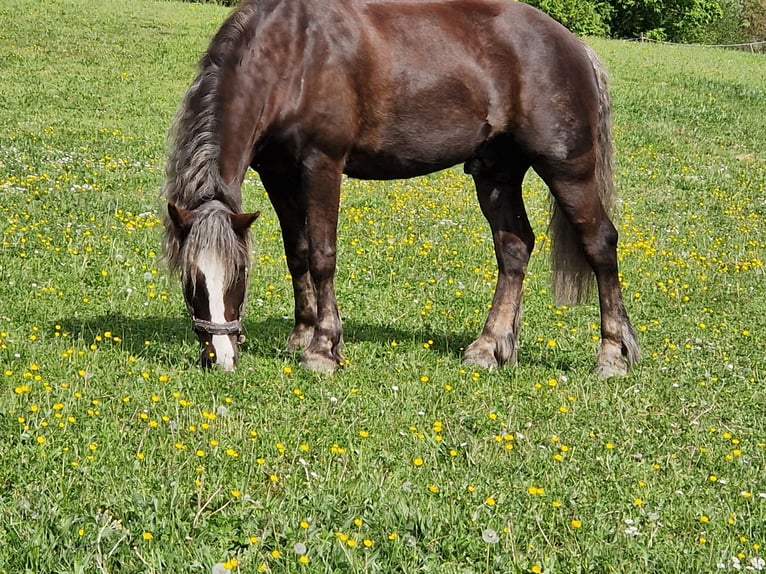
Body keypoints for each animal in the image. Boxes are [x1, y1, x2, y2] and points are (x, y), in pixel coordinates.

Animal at [162, 0, 640, 378]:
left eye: (238, 274)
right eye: (190, 278)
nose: (219, 356)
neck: (292, 54)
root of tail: (575, 46)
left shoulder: (322, 164)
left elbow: (321, 255)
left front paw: (323, 349)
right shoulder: (277, 173)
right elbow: (296, 252)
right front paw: (301, 333)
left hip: (567, 171)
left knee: (600, 243)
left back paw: (612, 356)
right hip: (496, 174)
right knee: (514, 248)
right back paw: (489, 347)